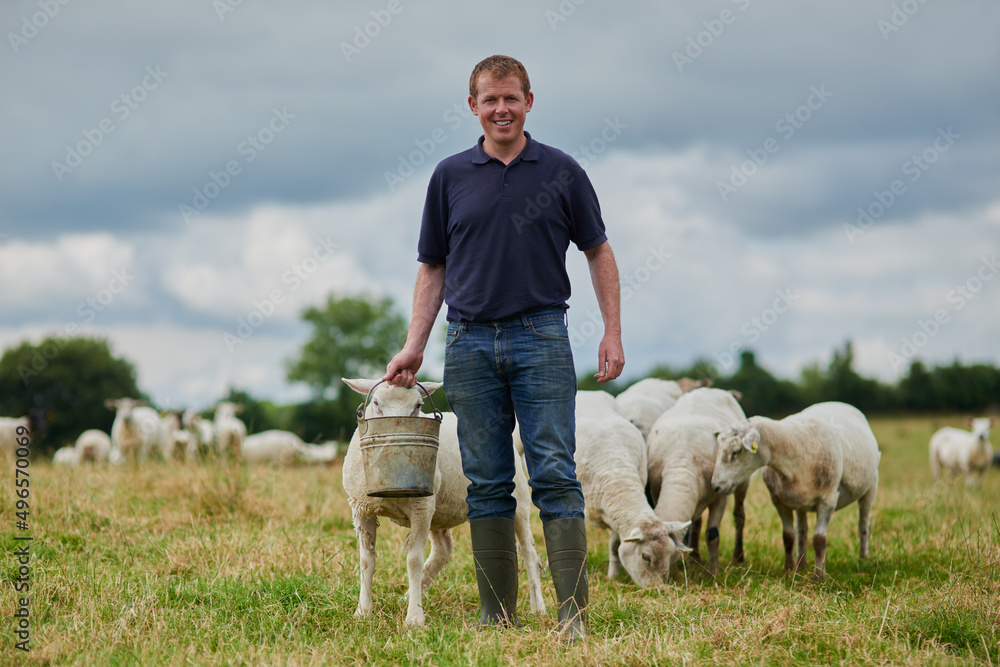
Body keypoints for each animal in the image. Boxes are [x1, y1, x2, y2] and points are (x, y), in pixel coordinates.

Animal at [344, 378, 548, 628]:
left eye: (418, 405)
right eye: (376, 403)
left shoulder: (421, 507)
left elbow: (413, 560)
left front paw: (414, 618)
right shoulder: (361, 508)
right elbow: (366, 560)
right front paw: (362, 612)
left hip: (518, 501)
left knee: (529, 553)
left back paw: (538, 608)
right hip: (440, 510)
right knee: (443, 550)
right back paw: (412, 592)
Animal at [576, 394, 692, 588]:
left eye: (669, 554)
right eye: (645, 556)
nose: (658, 589)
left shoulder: (616, 516)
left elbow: (615, 545)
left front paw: (613, 576)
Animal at [644, 388, 748, 576]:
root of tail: (711, 389)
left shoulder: (721, 495)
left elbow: (713, 534)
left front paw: (714, 571)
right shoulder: (655, 491)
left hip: (741, 481)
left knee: (739, 516)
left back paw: (738, 557)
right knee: (697, 522)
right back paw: (695, 558)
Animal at [708, 402, 880, 580]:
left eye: (736, 451)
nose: (716, 486)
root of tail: (837, 403)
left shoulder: (828, 499)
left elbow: (819, 540)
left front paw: (819, 577)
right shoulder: (779, 501)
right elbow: (788, 537)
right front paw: (789, 569)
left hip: (871, 486)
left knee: (863, 525)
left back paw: (863, 559)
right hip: (799, 501)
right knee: (802, 531)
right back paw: (801, 565)